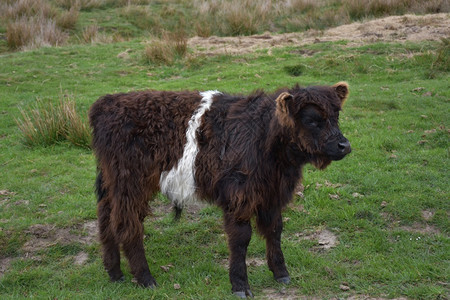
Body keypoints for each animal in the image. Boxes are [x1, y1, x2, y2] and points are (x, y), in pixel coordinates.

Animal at [89, 82, 352, 298]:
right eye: (312, 120)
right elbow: (240, 239)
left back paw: (115, 272)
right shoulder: (239, 196)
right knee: (127, 226)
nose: (344, 145)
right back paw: (145, 278)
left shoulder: (271, 195)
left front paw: (281, 273)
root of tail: (108, 101)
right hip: (130, 184)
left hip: (113, 185)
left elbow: (274, 231)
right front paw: (240, 285)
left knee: (106, 219)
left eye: (336, 116)